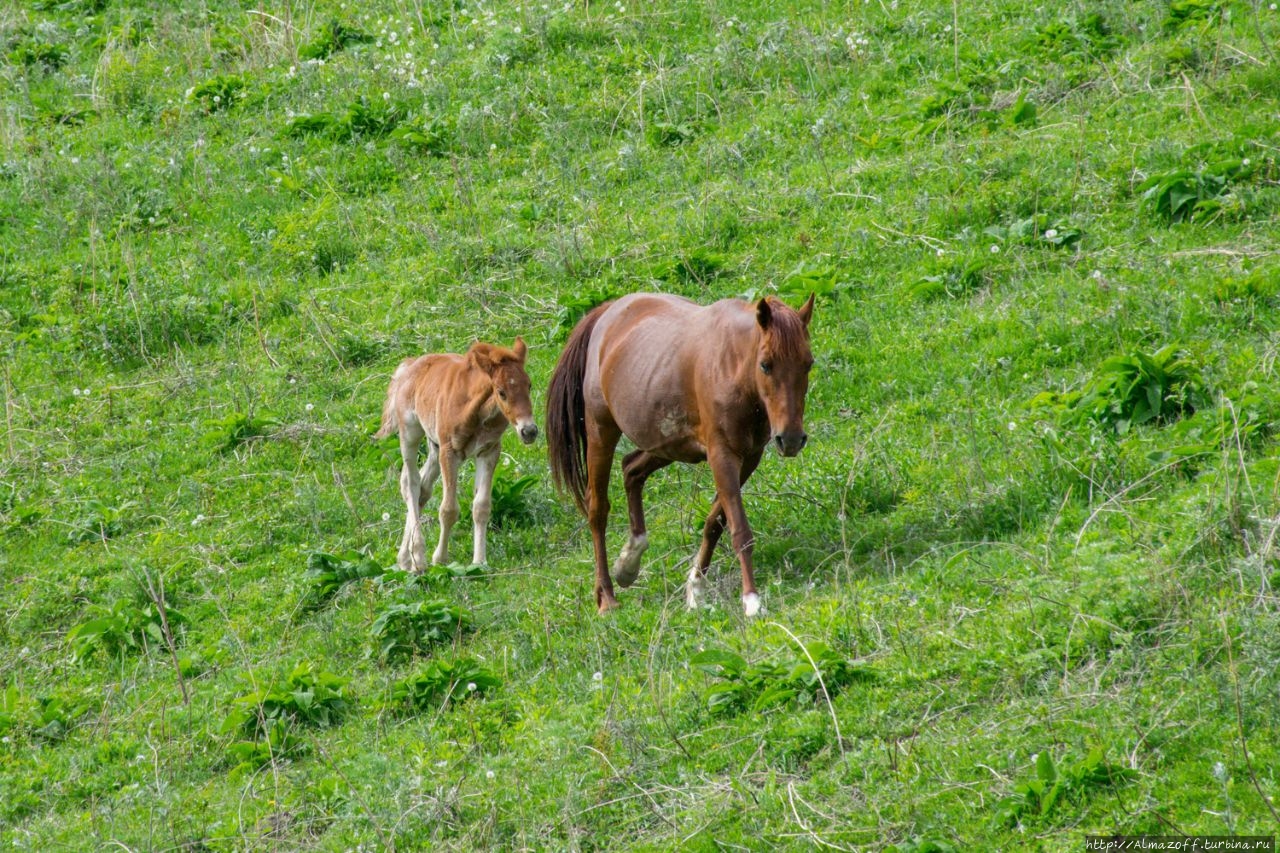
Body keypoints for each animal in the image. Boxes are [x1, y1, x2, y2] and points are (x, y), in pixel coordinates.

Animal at [375, 338, 538, 571]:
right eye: (501, 392)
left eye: (529, 385)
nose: (529, 431)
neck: (477, 410)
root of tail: (409, 366)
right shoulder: (449, 451)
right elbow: (448, 509)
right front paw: (440, 559)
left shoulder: (489, 451)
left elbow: (481, 507)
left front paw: (480, 561)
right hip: (410, 434)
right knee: (411, 483)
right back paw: (419, 556)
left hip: (434, 446)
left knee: (423, 488)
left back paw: (406, 559)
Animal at [547, 293, 815, 616]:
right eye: (765, 365)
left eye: (808, 364)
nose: (791, 438)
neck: (733, 367)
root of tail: (608, 312)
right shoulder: (722, 455)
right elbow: (740, 531)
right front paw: (751, 600)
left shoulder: (749, 457)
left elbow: (715, 523)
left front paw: (696, 587)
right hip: (602, 432)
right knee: (597, 508)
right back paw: (606, 596)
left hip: (666, 444)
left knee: (631, 469)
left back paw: (629, 560)